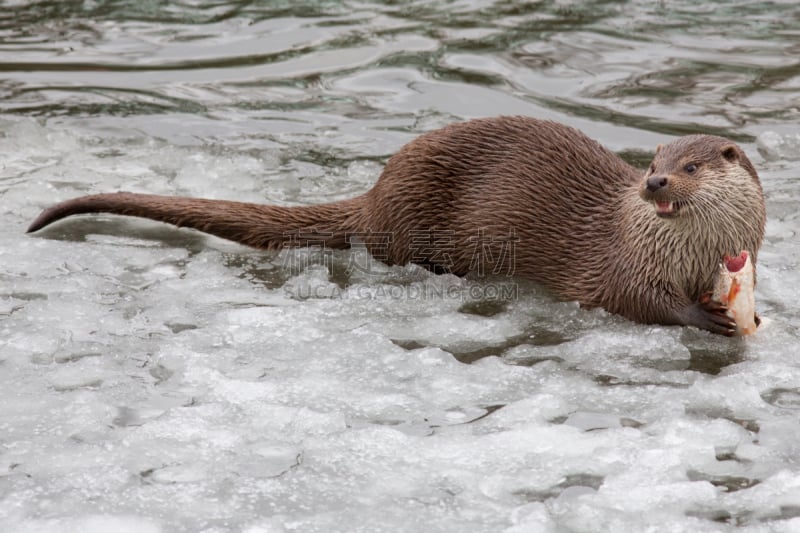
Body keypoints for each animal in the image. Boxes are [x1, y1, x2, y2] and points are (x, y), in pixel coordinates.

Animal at [26, 116, 764, 334]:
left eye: (690, 165)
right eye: (653, 162)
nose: (653, 184)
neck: (689, 256)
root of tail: (378, 191)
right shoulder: (619, 263)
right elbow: (633, 299)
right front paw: (707, 318)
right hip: (412, 220)